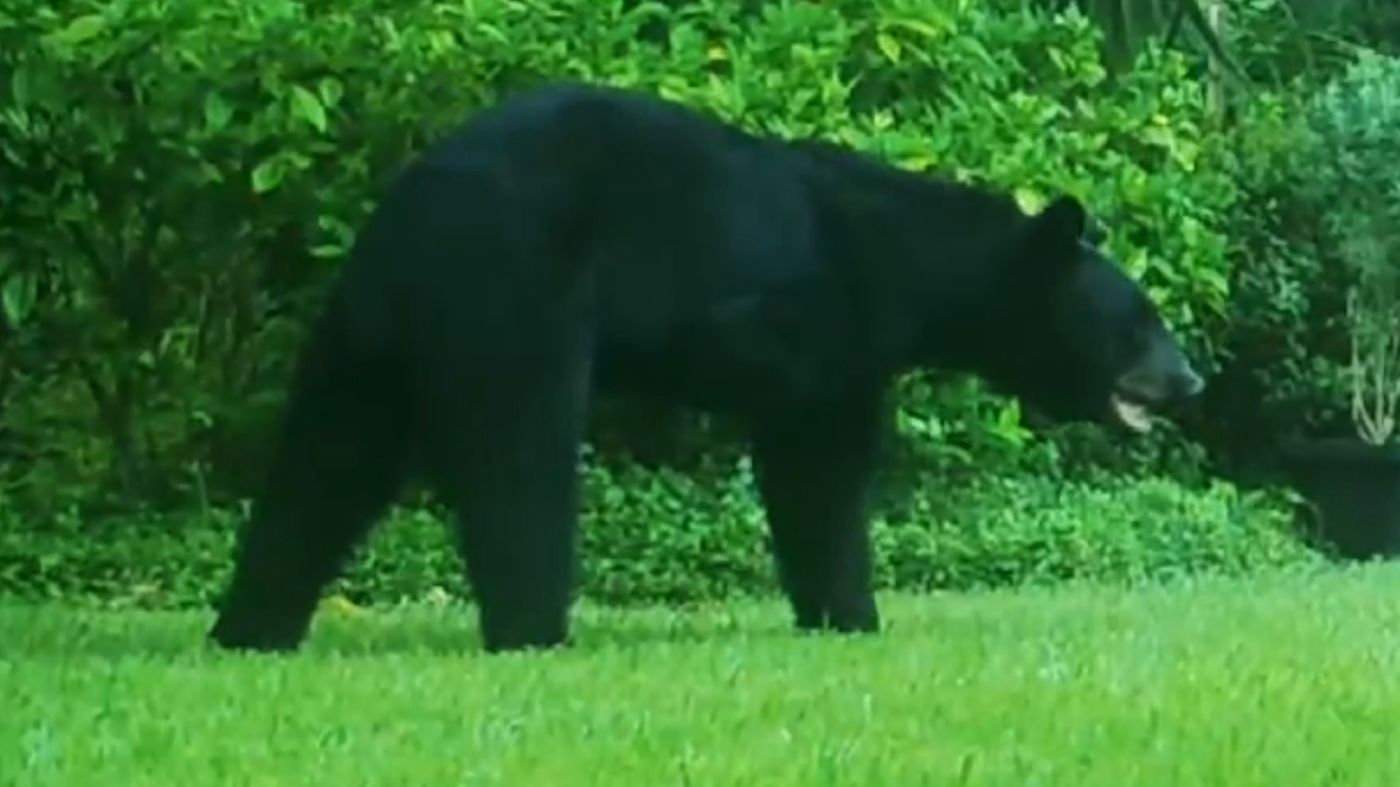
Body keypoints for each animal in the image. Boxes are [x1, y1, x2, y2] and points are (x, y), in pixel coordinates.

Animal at [204, 82, 1204, 652]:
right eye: (1143, 322)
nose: (1191, 380)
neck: (915, 264)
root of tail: (404, 223)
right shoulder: (832, 319)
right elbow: (818, 467)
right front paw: (852, 610)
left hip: (362, 340)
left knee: (327, 462)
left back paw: (250, 627)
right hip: (512, 300)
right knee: (518, 459)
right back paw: (534, 629)